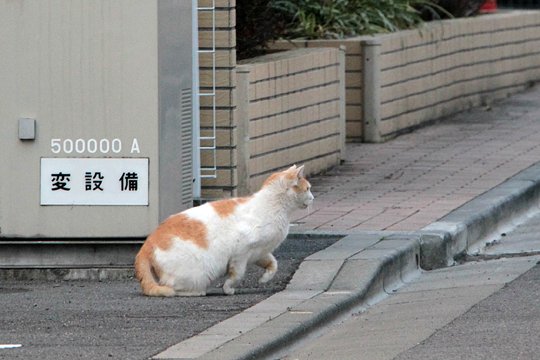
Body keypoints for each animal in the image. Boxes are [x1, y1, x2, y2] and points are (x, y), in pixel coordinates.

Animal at [133, 165, 314, 296]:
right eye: (308, 189)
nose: (313, 198)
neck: (273, 207)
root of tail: (147, 245)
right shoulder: (241, 253)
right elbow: (237, 274)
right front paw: (228, 288)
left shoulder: (260, 252)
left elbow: (273, 263)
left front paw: (264, 278)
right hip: (196, 272)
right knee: (170, 286)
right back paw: (196, 292)